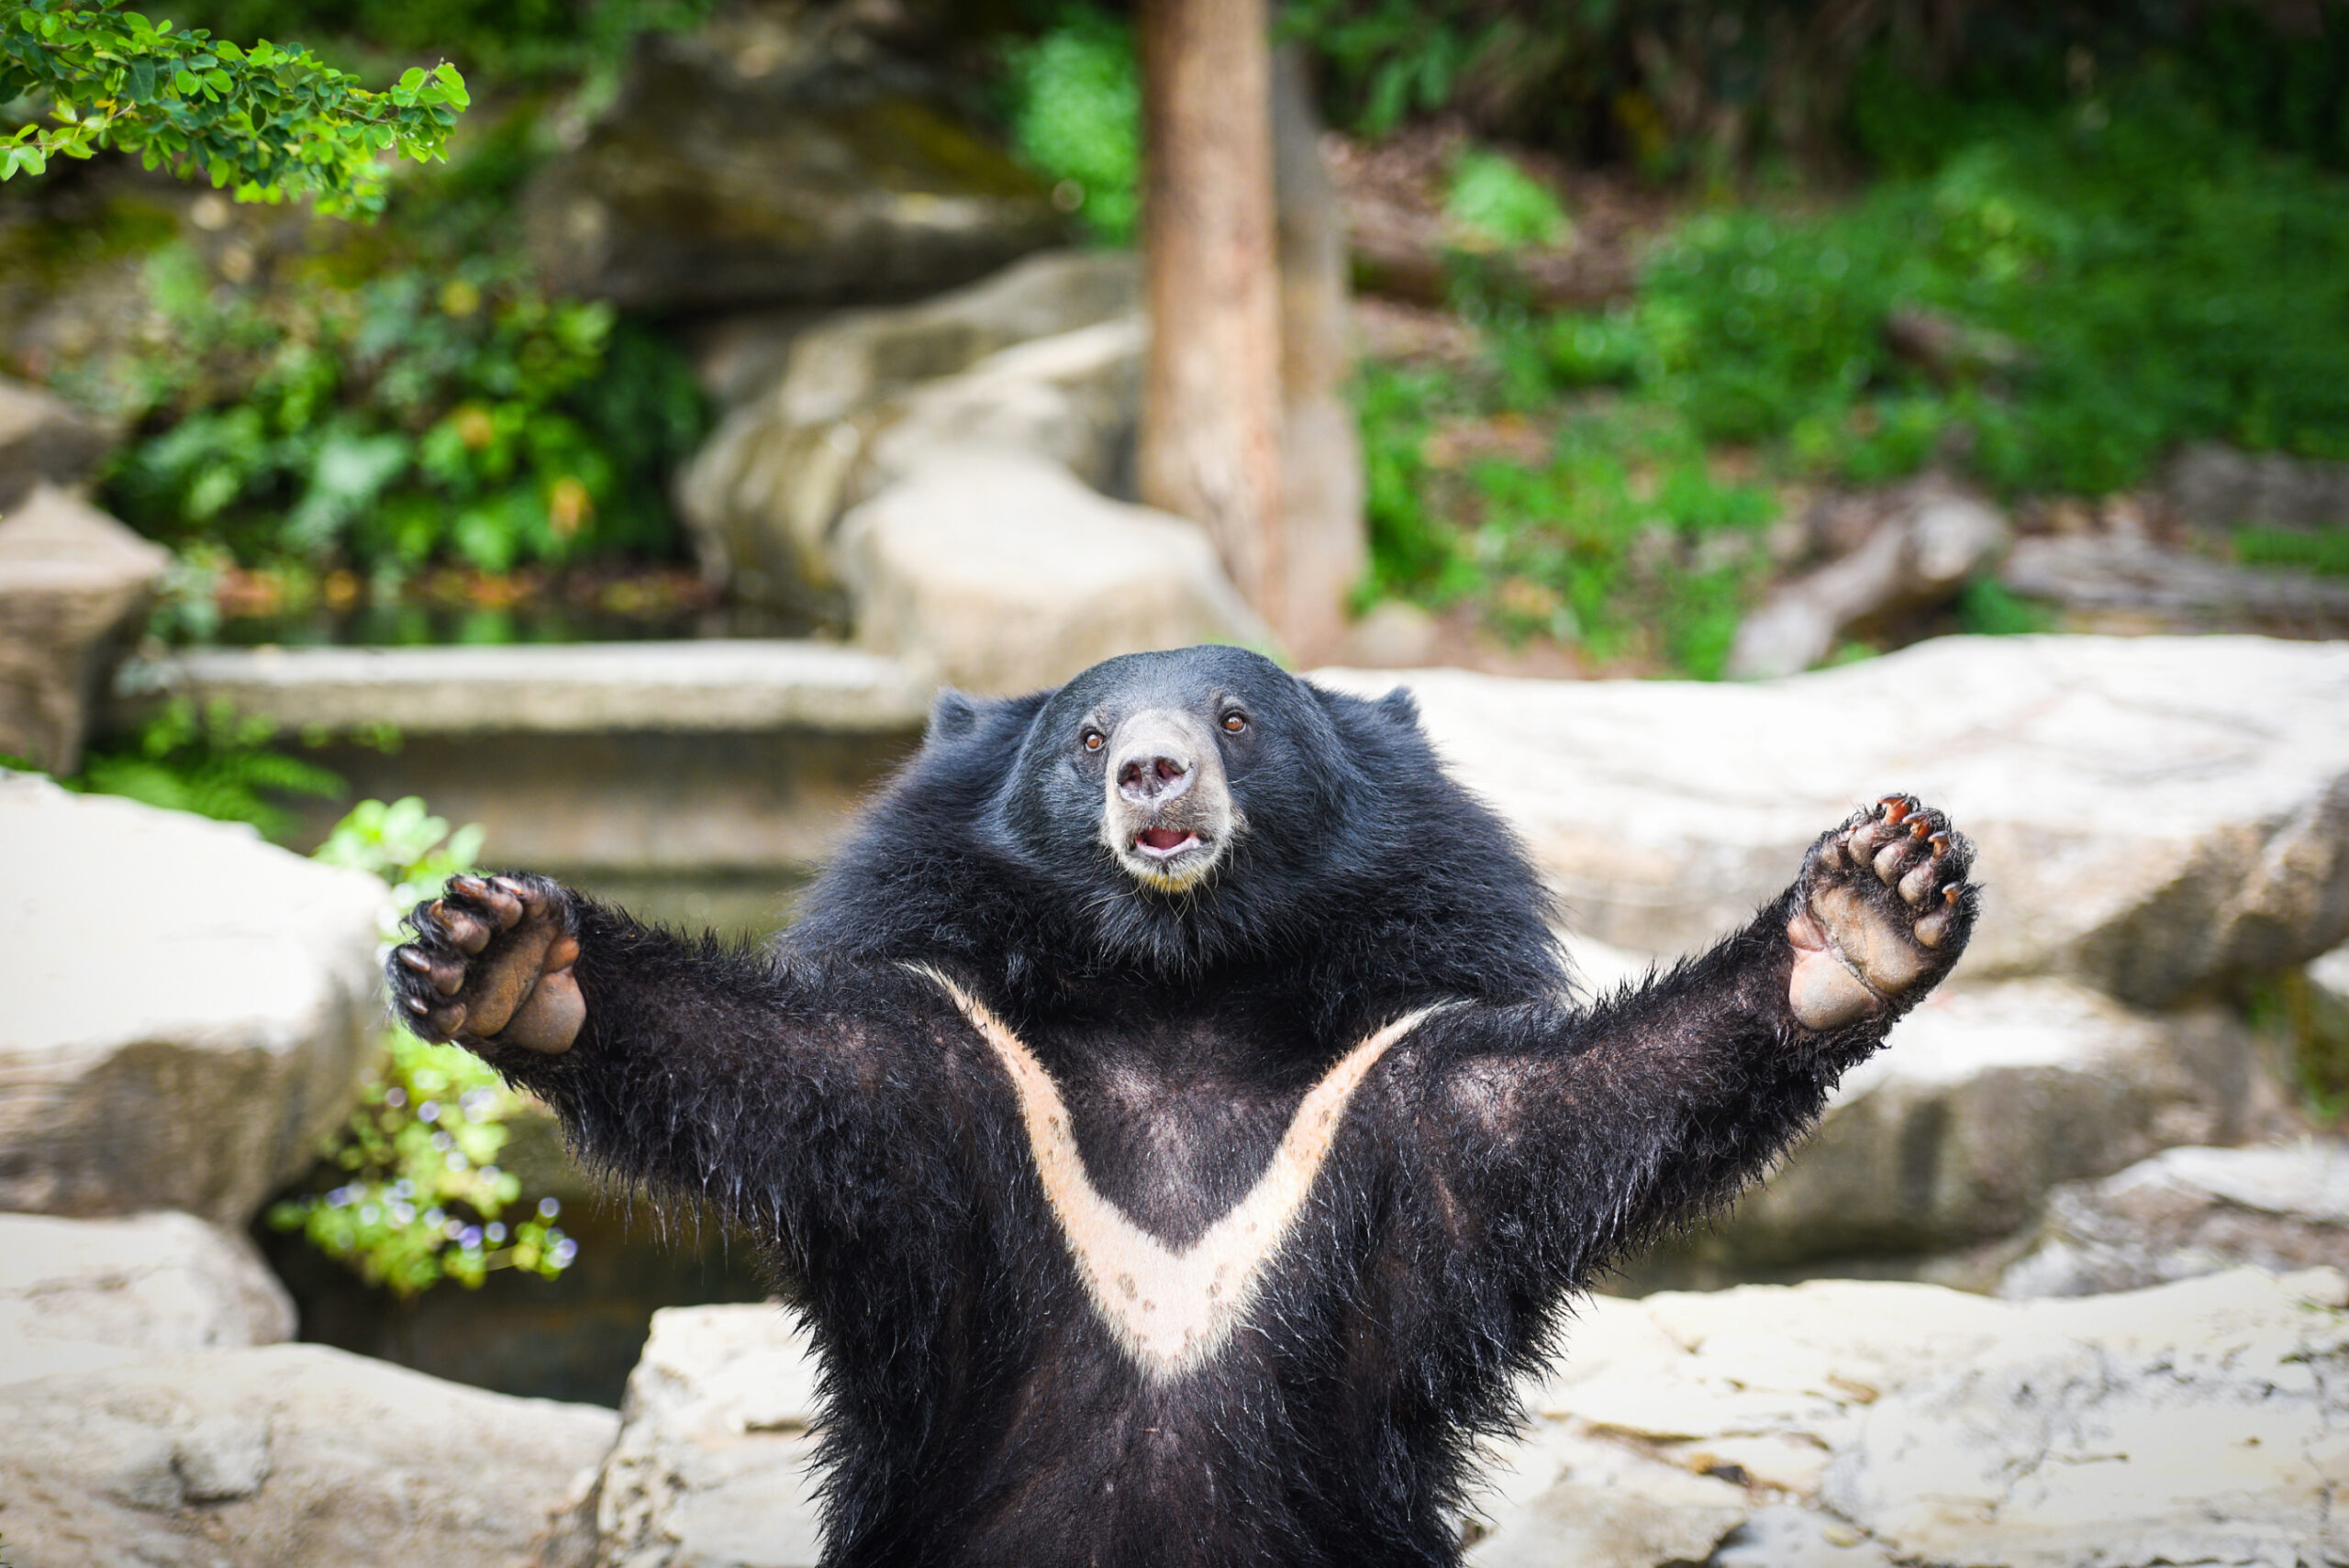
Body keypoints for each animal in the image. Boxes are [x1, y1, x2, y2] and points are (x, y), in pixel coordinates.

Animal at [388, 642, 1976, 1568]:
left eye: (1235, 717)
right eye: (1089, 736)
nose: (1158, 770)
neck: (1178, 992)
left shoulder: (1391, 1099)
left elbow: (1561, 1105)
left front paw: (1873, 902)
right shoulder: (955, 1085)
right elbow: (784, 1067)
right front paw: (501, 954)